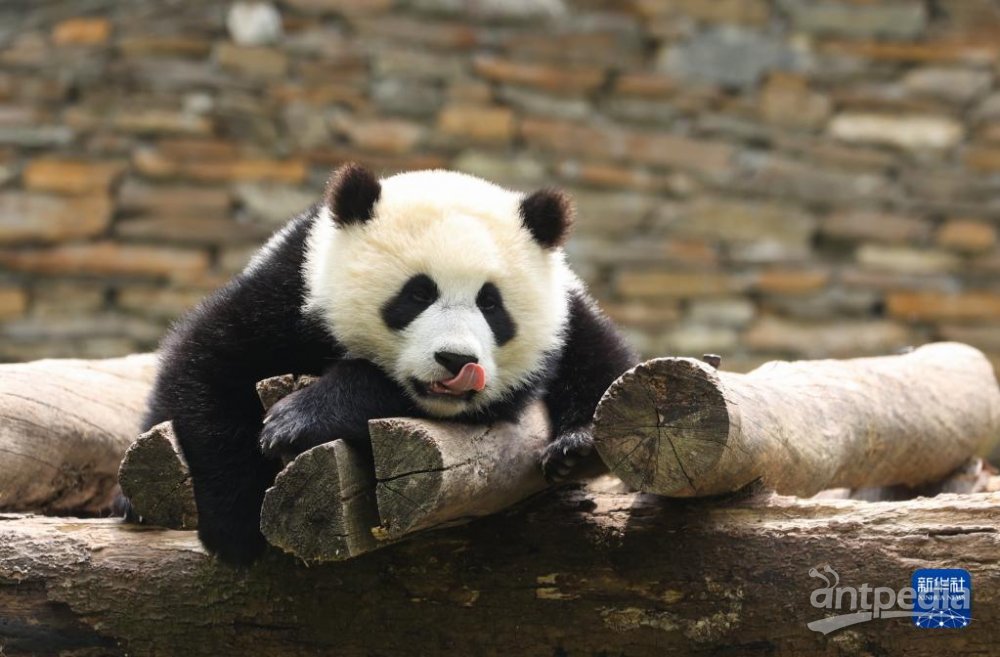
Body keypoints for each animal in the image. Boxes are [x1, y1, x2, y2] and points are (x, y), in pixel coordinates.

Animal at [143, 165, 632, 564]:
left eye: (491, 304)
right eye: (417, 294)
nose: (456, 360)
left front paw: (300, 419)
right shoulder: (290, 288)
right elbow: (209, 365)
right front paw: (235, 530)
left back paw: (574, 447)